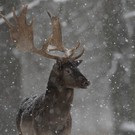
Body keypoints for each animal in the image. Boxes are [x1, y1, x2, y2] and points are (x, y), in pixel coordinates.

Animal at [0, 5, 90, 135]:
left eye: (77, 67)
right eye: (67, 70)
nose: (86, 82)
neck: (56, 123)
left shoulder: (68, 131)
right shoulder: (39, 131)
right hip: (19, 130)